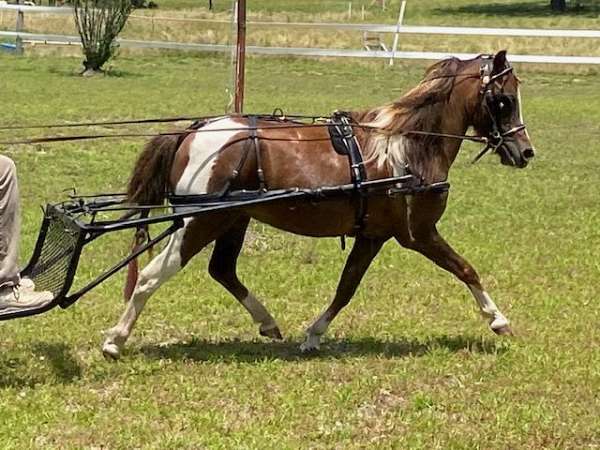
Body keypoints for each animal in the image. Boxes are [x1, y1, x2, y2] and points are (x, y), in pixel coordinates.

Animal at [102, 51, 536, 358]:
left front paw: (313, 334)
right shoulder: (418, 234)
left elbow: (346, 287)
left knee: (222, 270)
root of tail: (192, 132)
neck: (407, 147)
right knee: (151, 276)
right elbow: (466, 269)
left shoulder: (373, 236)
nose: (526, 152)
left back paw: (268, 324)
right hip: (200, 223)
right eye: (503, 100)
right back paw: (115, 340)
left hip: (233, 220)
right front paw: (498, 320)